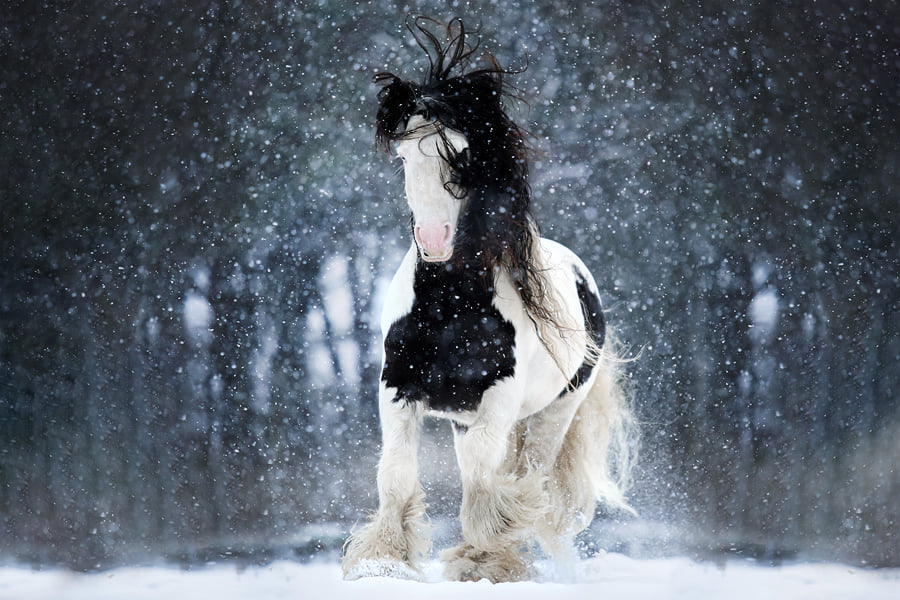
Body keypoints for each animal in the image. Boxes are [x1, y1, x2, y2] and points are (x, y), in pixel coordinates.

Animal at [342, 17, 636, 580]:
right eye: (403, 156)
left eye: (460, 154)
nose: (433, 240)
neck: (449, 308)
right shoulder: (398, 389)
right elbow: (396, 472)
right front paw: (384, 559)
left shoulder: (499, 396)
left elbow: (485, 475)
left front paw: (484, 557)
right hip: (463, 416)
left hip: (553, 413)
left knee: (537, 488)